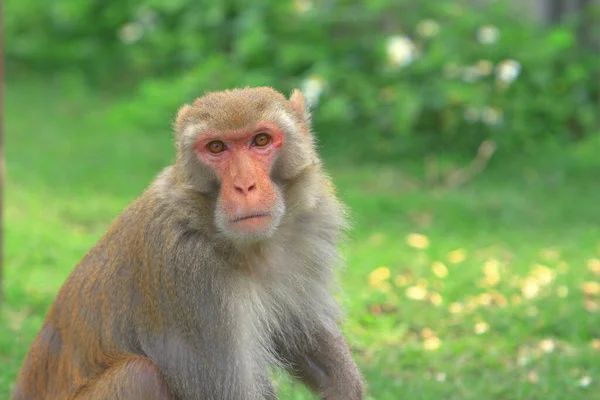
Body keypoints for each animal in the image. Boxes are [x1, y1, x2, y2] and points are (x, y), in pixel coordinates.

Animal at [12, 87, 366, 400]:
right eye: (216, 147)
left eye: (261, 140)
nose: (244, 186)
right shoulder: (189, 275)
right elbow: (230, 393)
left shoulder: (307, 233)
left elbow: (302, 332)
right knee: (139, 376)